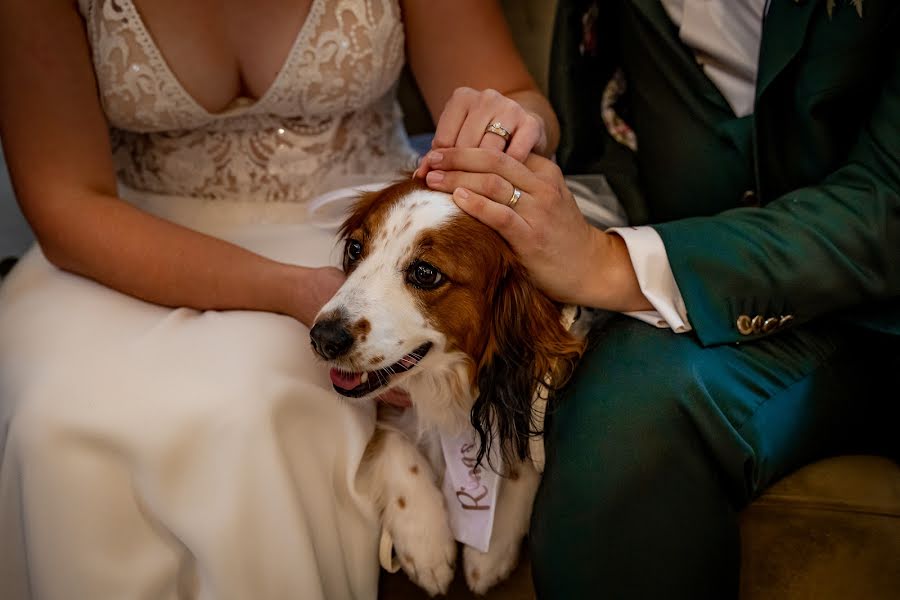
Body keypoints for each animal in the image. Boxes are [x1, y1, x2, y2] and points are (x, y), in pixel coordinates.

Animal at [310, 178, 588, 596]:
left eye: (426, 273)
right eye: (355, 249)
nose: (323, 338)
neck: (448, 386)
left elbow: (519, 448)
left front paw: (492, 547)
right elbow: (395, 442)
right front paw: (426, 543)